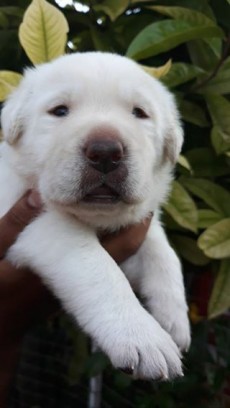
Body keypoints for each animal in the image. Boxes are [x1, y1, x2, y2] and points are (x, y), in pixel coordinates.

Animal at [0, 52, 190, 380]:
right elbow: (98, 268)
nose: (105, 152)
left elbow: (163, 253)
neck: (96, 216)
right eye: (60, 111)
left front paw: (174, 319)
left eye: (139, 113)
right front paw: (142, 336)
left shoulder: (137, 223)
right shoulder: (39, 221)